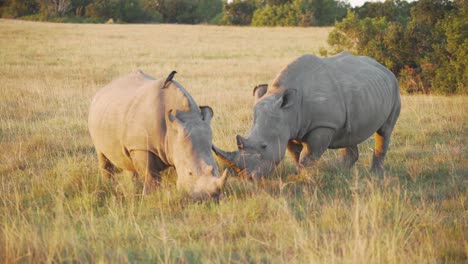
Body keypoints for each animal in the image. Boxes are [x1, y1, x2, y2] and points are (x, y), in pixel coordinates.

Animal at [88, 70, 228, 200]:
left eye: (216, 169)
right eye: (190, 173)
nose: (211, 197)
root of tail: (102, 90)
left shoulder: (176, 145)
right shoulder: (141, 146)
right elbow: (150, 175)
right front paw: (152, 197)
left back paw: (133, 189)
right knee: (103, 157)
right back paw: (108, 187)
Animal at [214, 52, 400, 178]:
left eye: (264, 146)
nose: (247, 178)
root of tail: (385, 68)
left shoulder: (323, 125)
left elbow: (307, 156)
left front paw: (304, 177)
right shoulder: (287, 127)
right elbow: (296, 154)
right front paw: (299, 173)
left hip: (394, 88)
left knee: (384, 131)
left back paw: (374, 175)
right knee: (350, 133)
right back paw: (340, 171)